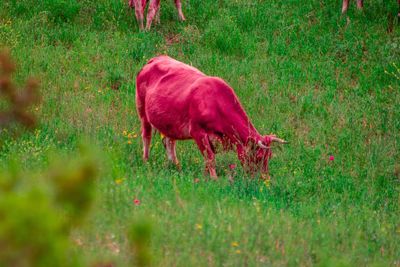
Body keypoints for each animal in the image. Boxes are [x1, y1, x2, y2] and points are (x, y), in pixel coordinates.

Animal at [136, 55, 286, 179]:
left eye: (269, 157)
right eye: (259, 156)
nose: (264, 179)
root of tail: (156, 58)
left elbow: (207, 161)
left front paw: (205, 176)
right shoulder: (197, 132)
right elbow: (210, 158)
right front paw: (214, 180)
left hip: (169, 123)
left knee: (169, 142)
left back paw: (175, 166)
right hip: (142, 110)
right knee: (147, 136)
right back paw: (146, 161)